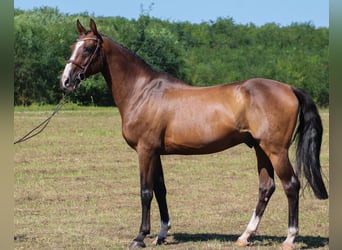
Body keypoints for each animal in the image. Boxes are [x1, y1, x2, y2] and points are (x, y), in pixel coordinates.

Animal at [60, 18, 328, 249]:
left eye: (89, 48)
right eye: (73, 46)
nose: (66, 81)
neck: (143, 92)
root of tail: (289, 88)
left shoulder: (145, 150)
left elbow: (146, 192)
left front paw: (140, 237)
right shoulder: (156, 152)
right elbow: (160, 190)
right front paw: (161, 234)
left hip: (276, 150)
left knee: (290, 185)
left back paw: (289, 238)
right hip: (261, 149)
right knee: (266, 187)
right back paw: (245, 236)